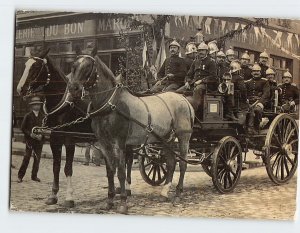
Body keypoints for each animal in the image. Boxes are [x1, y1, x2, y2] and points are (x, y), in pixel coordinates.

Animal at [15, 49, 91, 208]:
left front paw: (69, 198)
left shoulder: (69, 140)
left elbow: (68, 168)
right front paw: (53, 195)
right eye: (25, 65)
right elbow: (56, 166)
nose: (20, 89)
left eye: (36, 67)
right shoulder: (54, 139)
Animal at [67, 52, 195, 214]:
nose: (73, 89)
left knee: (183, 164)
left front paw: (123, 203)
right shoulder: (104, 144)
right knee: (171, 163)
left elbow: (121, 172)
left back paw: (178, 194)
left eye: (88, 67)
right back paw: (164, 193)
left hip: (183, 137)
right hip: (166, 139)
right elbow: (110, 171)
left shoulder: (119, 144)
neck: (110, 104)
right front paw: (109, 201)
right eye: (73, 66)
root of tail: (185, 100)